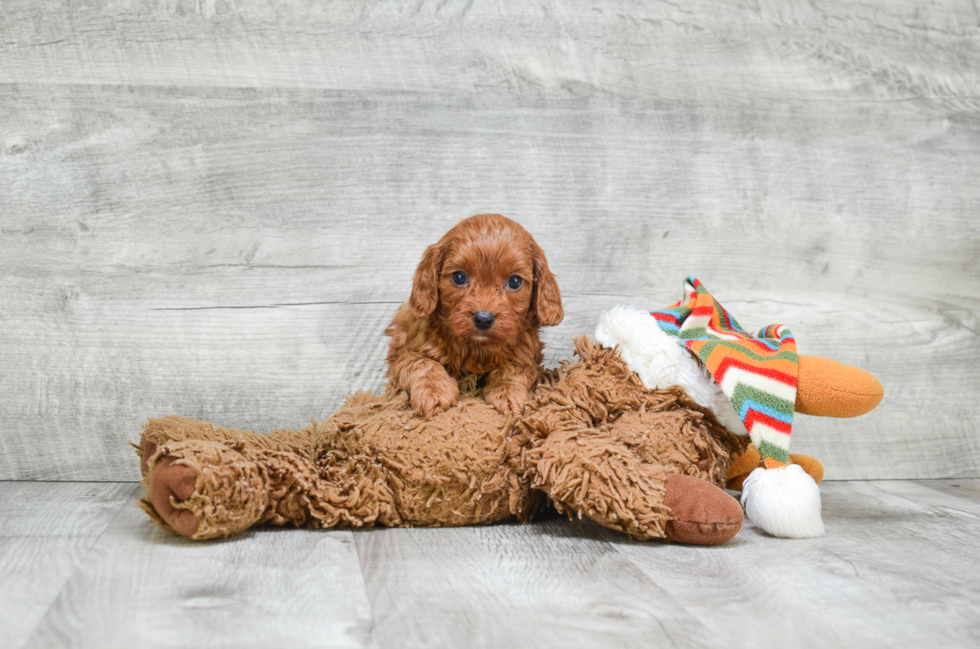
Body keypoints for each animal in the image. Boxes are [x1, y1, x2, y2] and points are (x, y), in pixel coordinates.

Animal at [384, 213, 564, 416]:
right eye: (459, 277)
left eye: (515, 281)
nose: (483, 319)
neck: (476, 348)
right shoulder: (400, 357)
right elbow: (422, 363)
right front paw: (434, 392)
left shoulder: (528, 356)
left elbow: (513, 368)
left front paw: (507, 391)